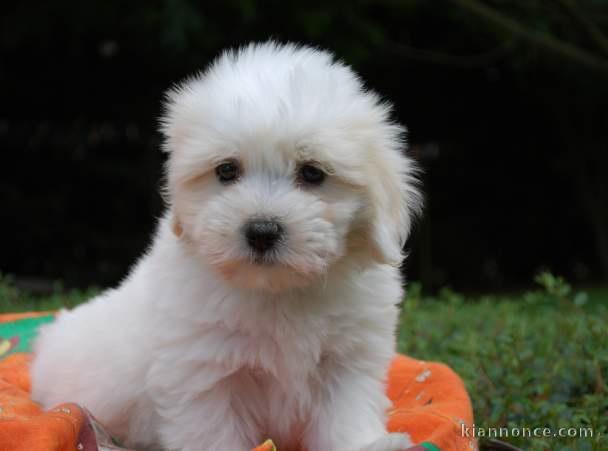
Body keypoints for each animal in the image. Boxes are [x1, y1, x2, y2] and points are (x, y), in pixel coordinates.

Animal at [32, 43, 422, 451]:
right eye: (226, 170)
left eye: (313, 172)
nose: (262, 230)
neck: (277, 291)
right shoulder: (203, 375)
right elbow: (212, 431)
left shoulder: (348, 359)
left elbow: (345, 415)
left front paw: (370, 444)